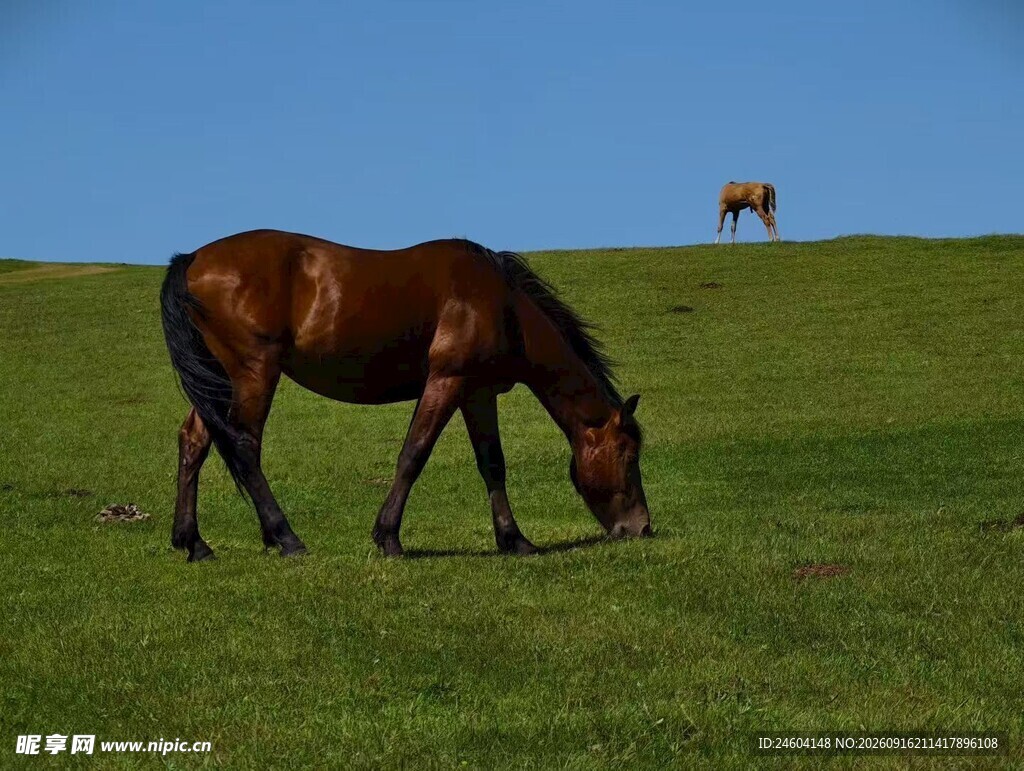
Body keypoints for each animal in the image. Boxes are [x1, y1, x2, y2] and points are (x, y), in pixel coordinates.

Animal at [159, 229, 651, 561]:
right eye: (628, 456)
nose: (642, 527)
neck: (502, 304)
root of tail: (194, 259)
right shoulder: (446, 381)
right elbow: (414, 453)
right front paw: (389, 537)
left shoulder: (477, 393)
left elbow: (492, 465)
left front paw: (515, 540)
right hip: (253, 374)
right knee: (245, 446)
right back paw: (286, 537)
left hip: (219, 381)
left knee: (194, 441)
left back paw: (194, 542)